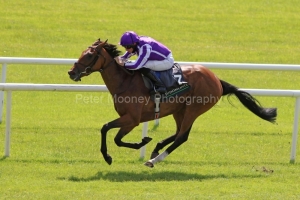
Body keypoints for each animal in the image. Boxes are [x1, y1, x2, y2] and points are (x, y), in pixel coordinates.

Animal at [68, 39, 276, 167]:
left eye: (89, 55)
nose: (71, 72)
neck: (125, 82)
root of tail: (217, 80)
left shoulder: (132, 119)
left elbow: (109, 132)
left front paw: (113, 154)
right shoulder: (129, 119)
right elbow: (113, 135)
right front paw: (143, 142)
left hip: (194, 108)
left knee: (182, 136)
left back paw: (154, 160)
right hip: (179, 109)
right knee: (178, 133)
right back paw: (156, 150)